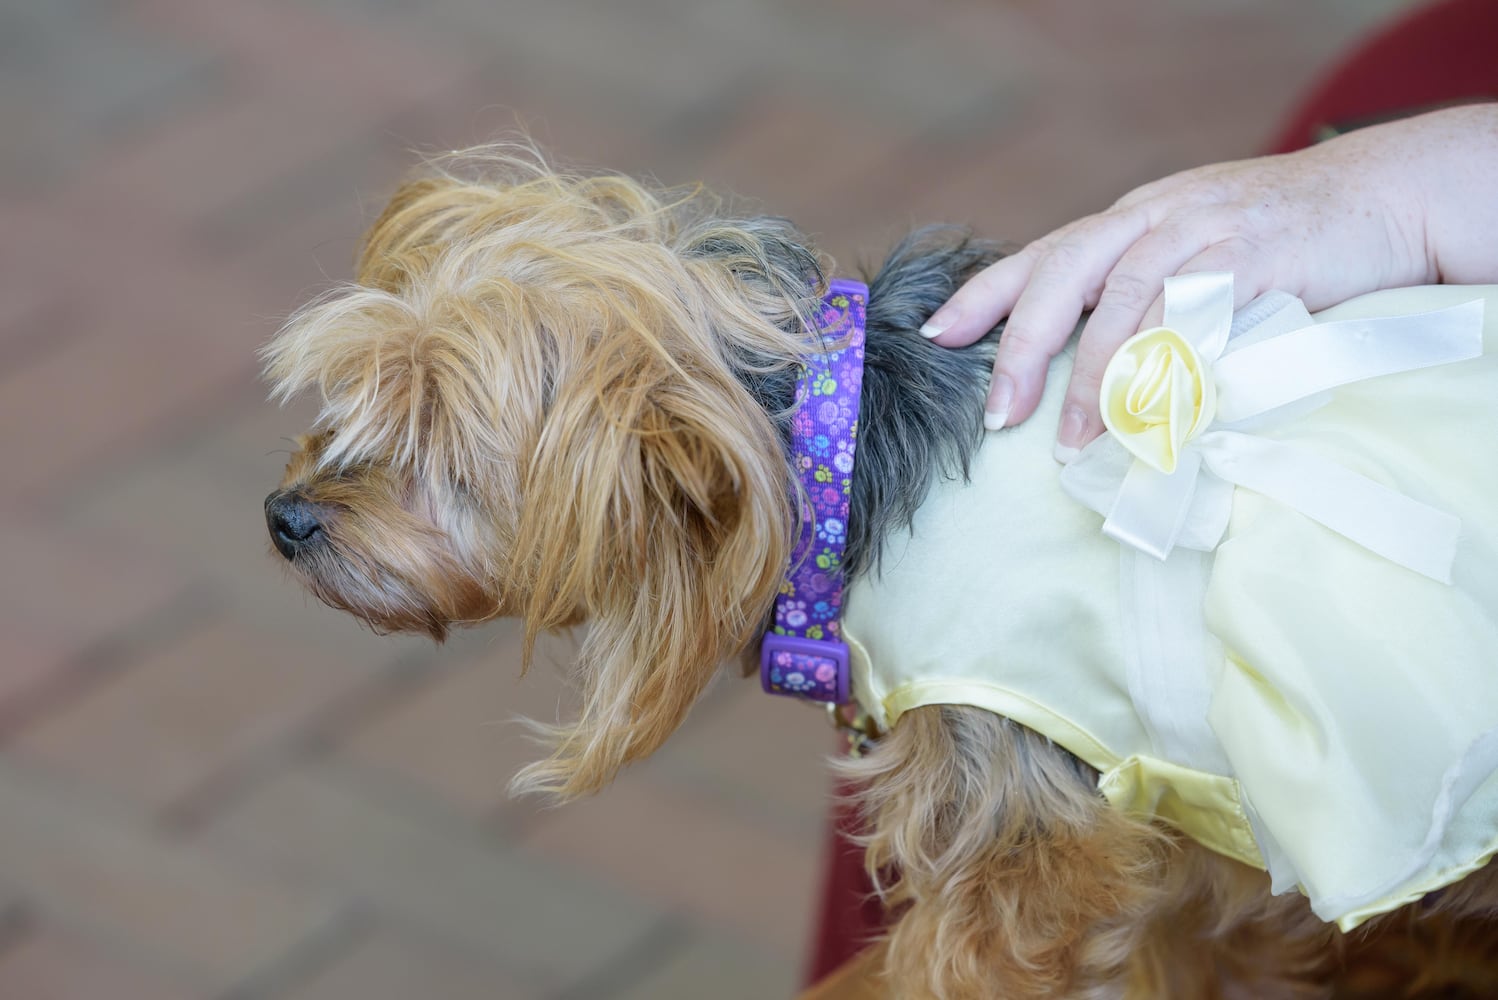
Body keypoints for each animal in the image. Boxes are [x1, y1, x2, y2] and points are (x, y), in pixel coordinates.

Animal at [266, 150, 1498, 999]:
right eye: (354, 398)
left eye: (435, 438)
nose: (282, 516)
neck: (843, 442)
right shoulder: (1181, 853)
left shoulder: (1028, 830)